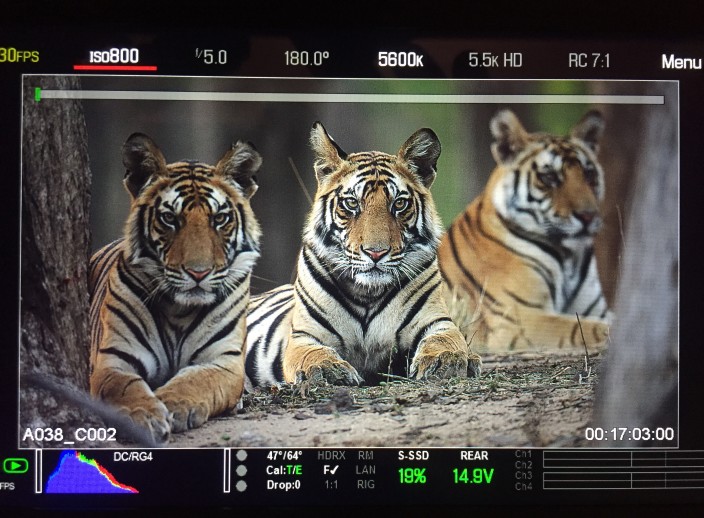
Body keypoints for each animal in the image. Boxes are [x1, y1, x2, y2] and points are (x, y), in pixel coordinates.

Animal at [88, 132, 262, 444]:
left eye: (219, 219)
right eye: (169, 218)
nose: (198, 272)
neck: (179, 309)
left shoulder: (223, 361)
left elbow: (197, 380)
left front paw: (172, 405)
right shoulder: (114, 359)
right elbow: (125, 387)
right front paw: (144, 416)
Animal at [245, 123, 482, 390]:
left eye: (399, 204)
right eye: (351, 203)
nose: (375, 252)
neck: (368, 293)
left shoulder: (435, 321)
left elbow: (444, 340)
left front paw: (445, 359)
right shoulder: (306, 335)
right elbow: (313, 354)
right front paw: (327, 369)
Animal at [440, 109, 612, 354]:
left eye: (589, 174)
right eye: (549, 178)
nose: (588, 216)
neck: (570, 258)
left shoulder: (596, 309)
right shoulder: (517, 318)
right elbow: (590, 328)